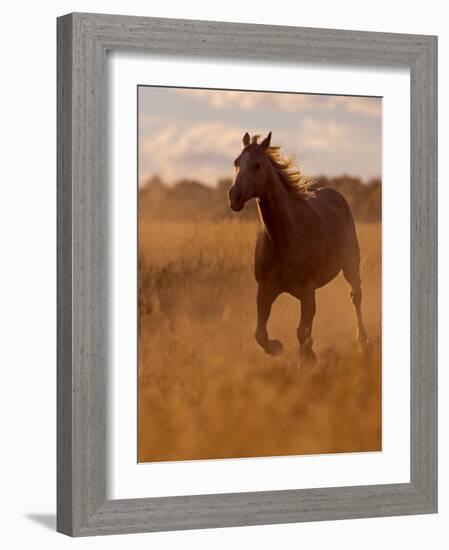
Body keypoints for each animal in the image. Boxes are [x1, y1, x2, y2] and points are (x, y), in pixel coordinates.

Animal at [228, 133, 368, 366]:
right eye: (237, 162)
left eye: (257, 165)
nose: (234, 196)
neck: (285, 237)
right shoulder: (265, 290)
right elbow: (260, 334)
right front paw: (277, 347)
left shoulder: (307, 291)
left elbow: (303, 332)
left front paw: (307, 361)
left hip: (351, 265)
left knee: (356, 296)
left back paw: (362, 341)